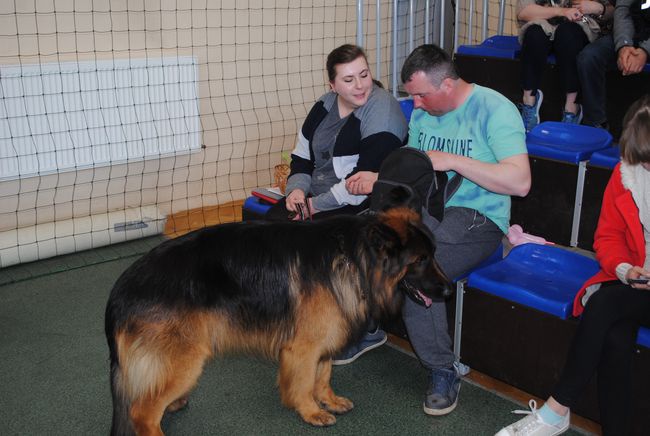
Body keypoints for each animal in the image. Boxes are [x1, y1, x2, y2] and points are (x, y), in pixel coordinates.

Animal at [106, 208, 450, 436]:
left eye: (434, 254)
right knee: (141, 412)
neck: (354, 258)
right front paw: (311, 411)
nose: (448, 289)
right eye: (420, 260)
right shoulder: (303, 348)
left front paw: (328, 401)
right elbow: (303, 382)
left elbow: (323, 375)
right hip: (186, 360)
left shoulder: (322, 340)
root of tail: (121, 289)